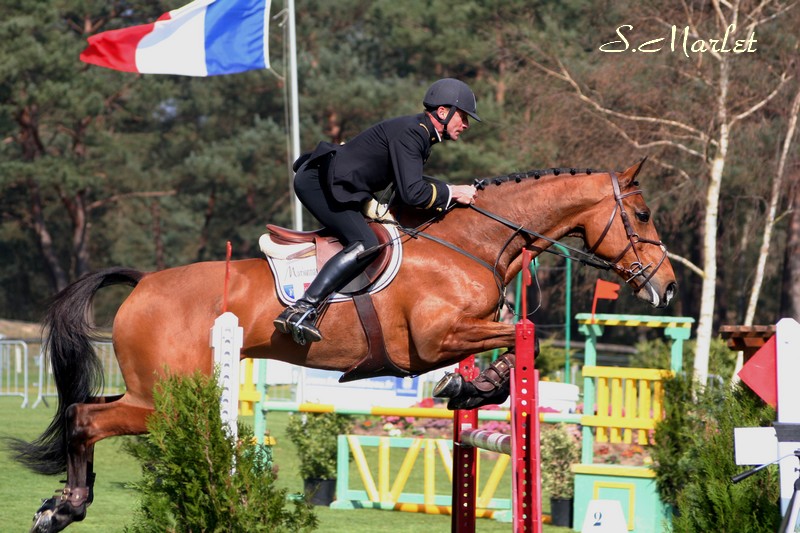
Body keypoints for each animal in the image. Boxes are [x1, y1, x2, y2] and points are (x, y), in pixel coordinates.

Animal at [12, 158, 676, 528]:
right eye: (643, 216)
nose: (666, 287)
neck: (471, 242)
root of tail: (145, 282)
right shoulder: (436, 336)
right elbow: (519, 342)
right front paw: (475, 384)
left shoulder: (454, 335)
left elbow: (505, 349)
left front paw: (470, 387)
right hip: (165, 399)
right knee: (84, 419)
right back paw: (64, 508)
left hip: (156, 391)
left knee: (83, 410)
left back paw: (61, 506)